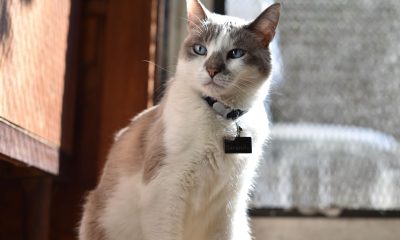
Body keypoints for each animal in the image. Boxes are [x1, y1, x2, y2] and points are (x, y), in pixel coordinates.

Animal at [79, 0, 282, 239]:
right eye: (200, 49)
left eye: (236, 53)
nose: (211, 70)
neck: (223, 117)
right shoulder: (167, 190)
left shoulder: (228, 205)